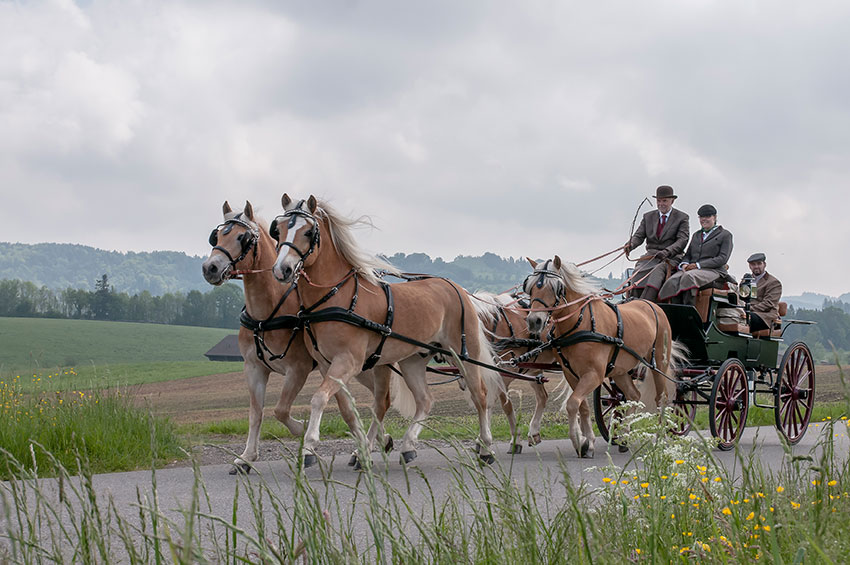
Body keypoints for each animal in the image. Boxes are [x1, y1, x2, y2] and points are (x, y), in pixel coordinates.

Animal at [200, 202, 410, 472]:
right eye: (216, 236)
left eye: (242, 237)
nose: (210, 268)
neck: (267, 312)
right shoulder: (254, 368)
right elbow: (256, 413)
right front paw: (246, 457)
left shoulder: (297, 369)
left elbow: (280, 410)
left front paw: (302, 432)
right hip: (356, 367)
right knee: (373, 400)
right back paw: (376, 441)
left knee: (380, 400)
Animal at [268, 196, 500, 464]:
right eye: (278, 230)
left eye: (308, 232)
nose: (281, 270)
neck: (336, 297)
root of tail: (458, 289)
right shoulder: (328, 365)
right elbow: (346, 409)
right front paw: (361, 449)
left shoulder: (348, 361)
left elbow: (318, 399)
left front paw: (308, 447)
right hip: (412, 361)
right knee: (425, 400)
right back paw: (408, 445)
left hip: (464, 354)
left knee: (480, 395)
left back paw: (486, 446)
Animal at [470, 290, 564, 450]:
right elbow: (487, 403)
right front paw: (482, 439)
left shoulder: (504, 375)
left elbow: (505, 405)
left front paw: (515, 439)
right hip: (534, 370)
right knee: (542, 397)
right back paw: (533, 433)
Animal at [520, 256, 684, 458]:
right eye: (530, 287)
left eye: (555, 287)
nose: (534, 321)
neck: (580, 324)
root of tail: (652, 305)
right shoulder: (571, 373)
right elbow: (582, 406)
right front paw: (588, 442)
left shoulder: (594, 375)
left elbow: (573, 403)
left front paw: (578, 440)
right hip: (619, 370)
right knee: (633, 395)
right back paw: (624, 437)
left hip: (659, 363)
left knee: (661, 398)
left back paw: (660, 437)